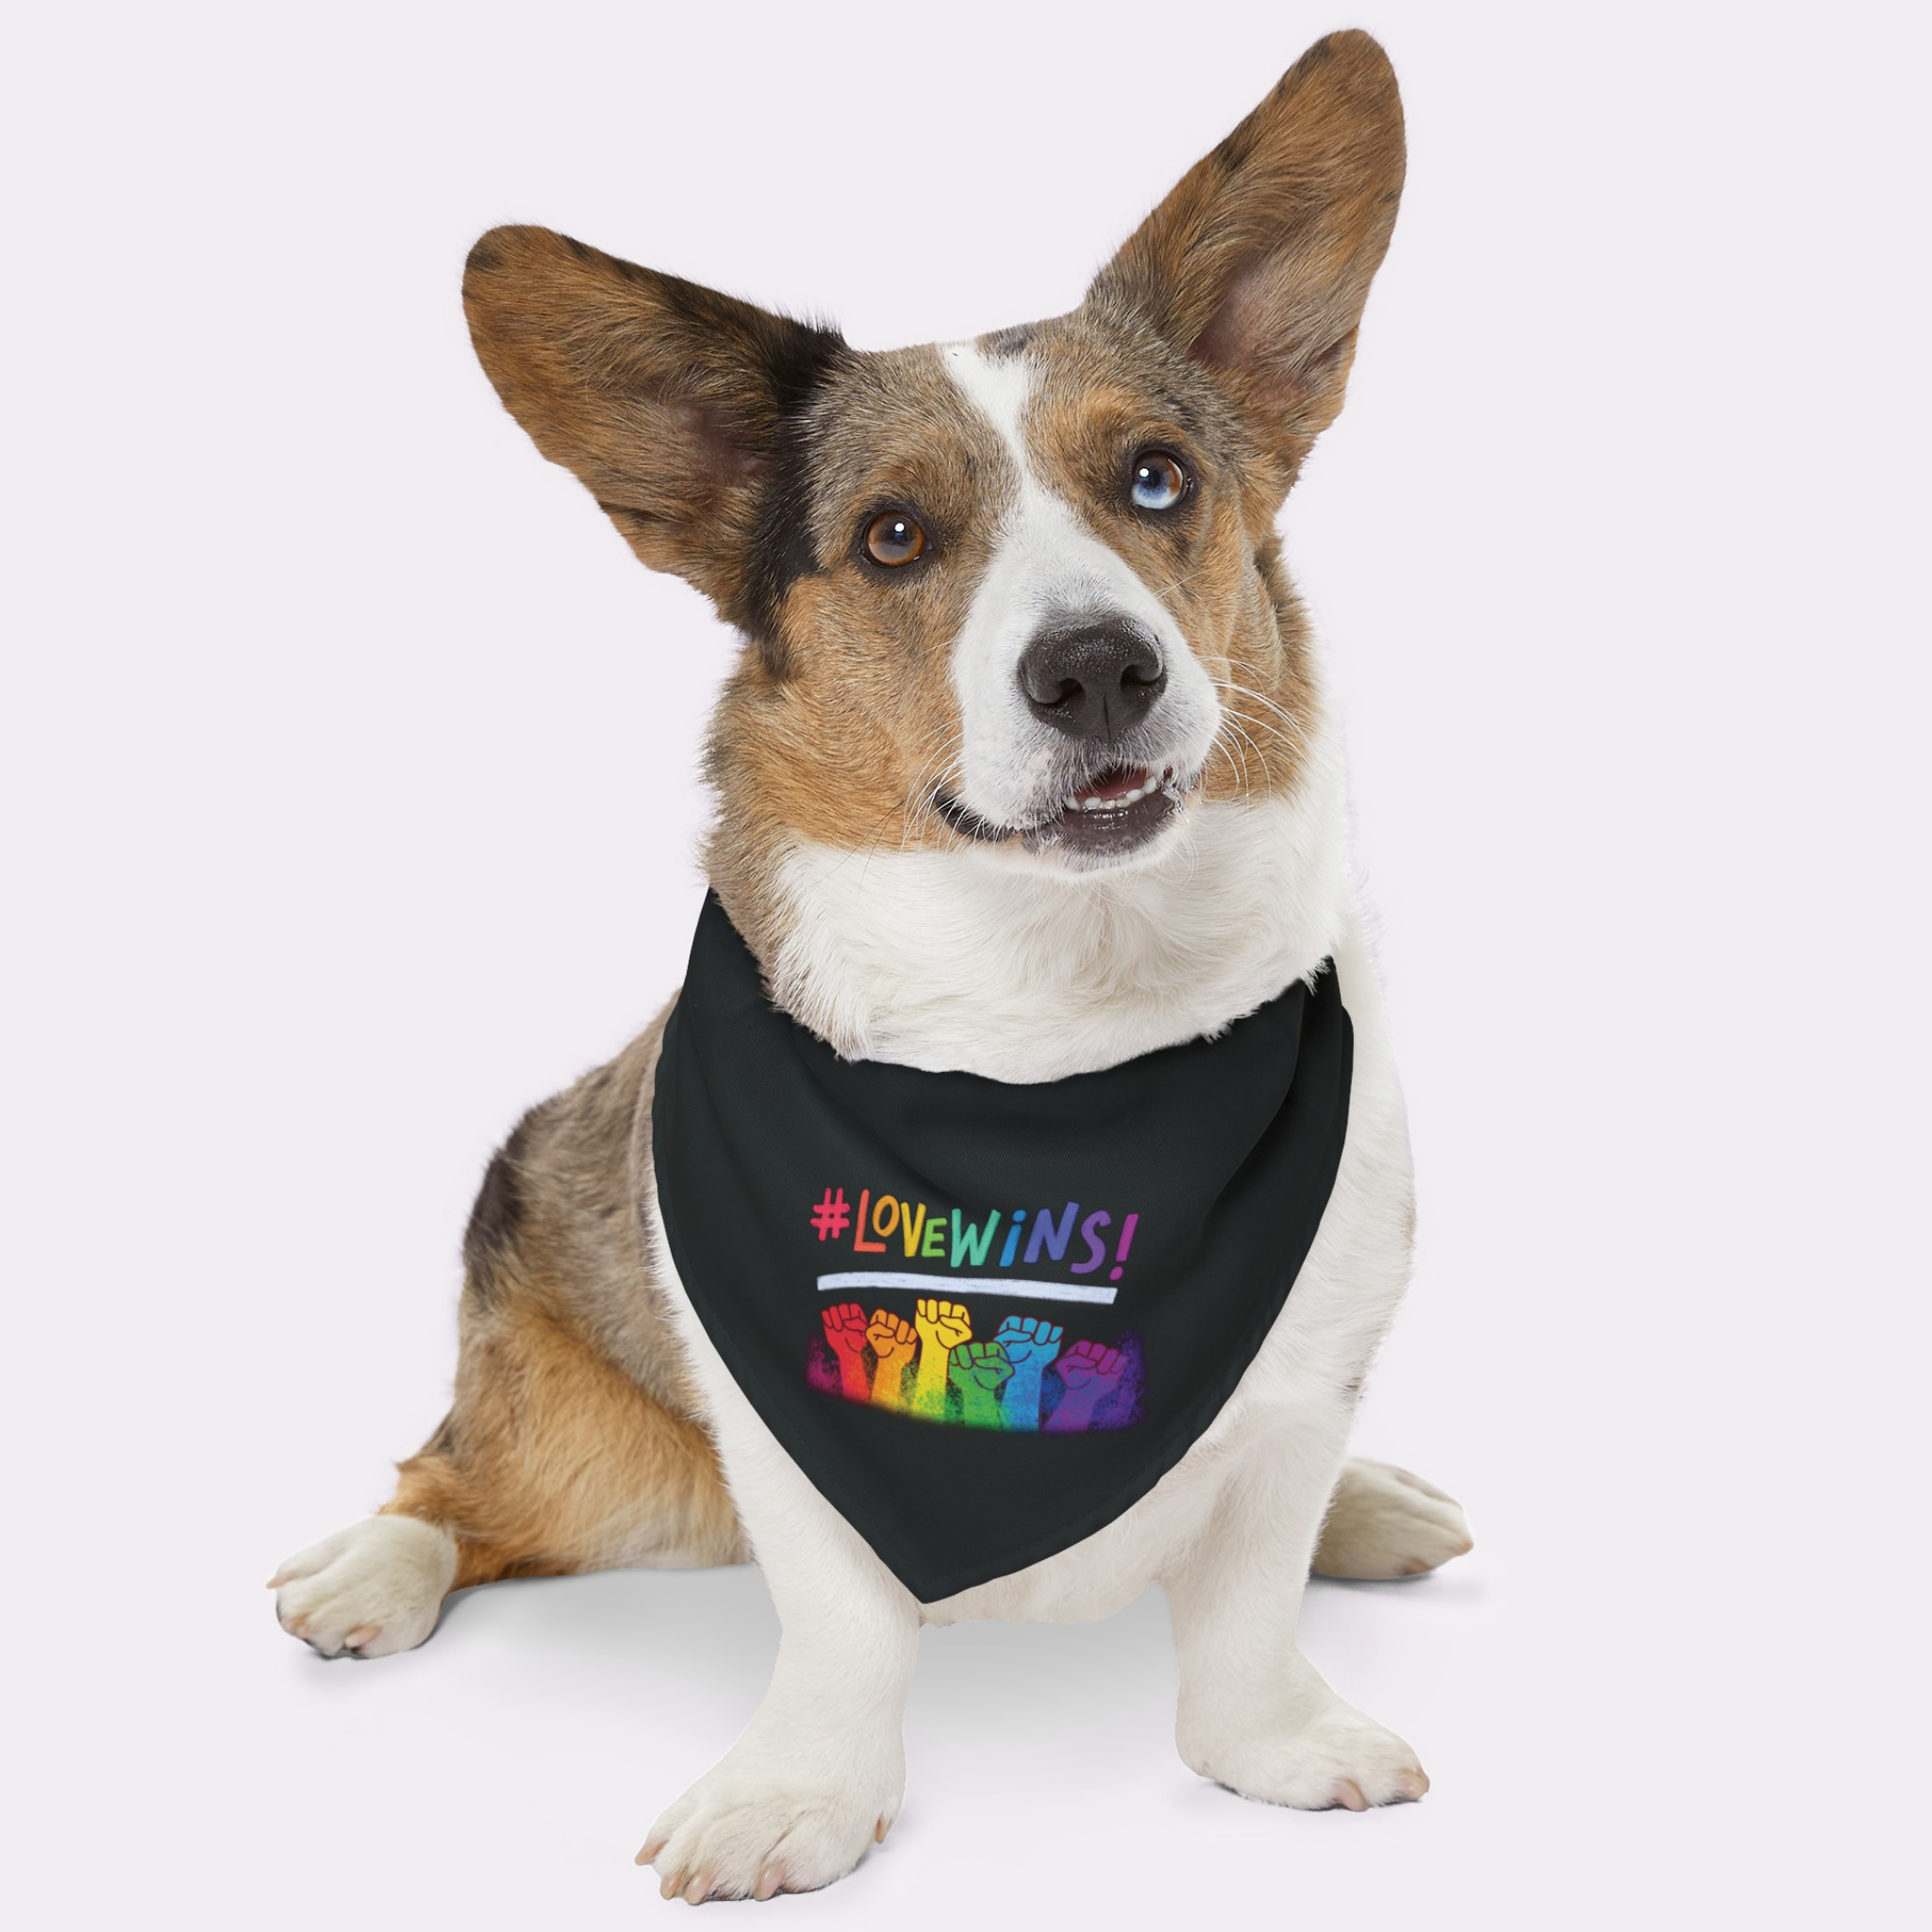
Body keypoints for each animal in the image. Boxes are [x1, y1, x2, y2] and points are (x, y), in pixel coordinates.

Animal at [272, 30, 1468, 1901]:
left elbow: (1251, 1588)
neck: (1061, 1036)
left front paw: (1272, 1737)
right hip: (593, 1456)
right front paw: (798, 1797)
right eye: (894, 536)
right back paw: (371, 1569)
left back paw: (1373, 1508)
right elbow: (837, 1626)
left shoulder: (1301, 1379)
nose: (1099, 671)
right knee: (455, 1483)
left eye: (1156, 478)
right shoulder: (780, 1429)